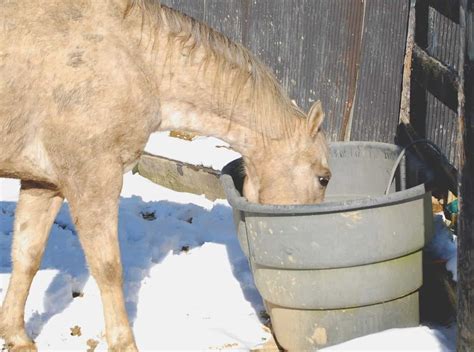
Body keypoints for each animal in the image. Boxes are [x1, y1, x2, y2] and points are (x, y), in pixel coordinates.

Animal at [0, 1, 332, 350]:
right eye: (323, 177)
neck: (137, 59)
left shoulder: (44, 183)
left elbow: (27, 257)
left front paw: (17, 335)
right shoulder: (93, 179)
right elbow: (109, 268)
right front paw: (124, 343)